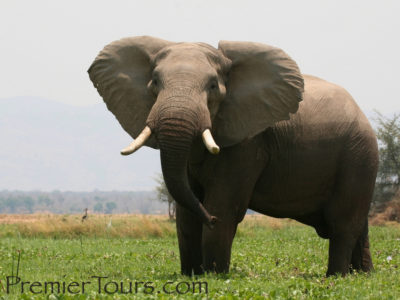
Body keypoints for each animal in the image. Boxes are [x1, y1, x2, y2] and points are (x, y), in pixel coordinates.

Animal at [88, 35, 378, 276]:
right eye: (155, 83)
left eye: (213, 86)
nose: (210, 219)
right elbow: (186, 214)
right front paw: (192, 275)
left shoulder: (248, 143)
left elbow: (225, 206)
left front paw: (214, 274)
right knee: (357, 225)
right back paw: (362, 274)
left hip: (359, 156)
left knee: (343, 223)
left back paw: (336, 276)